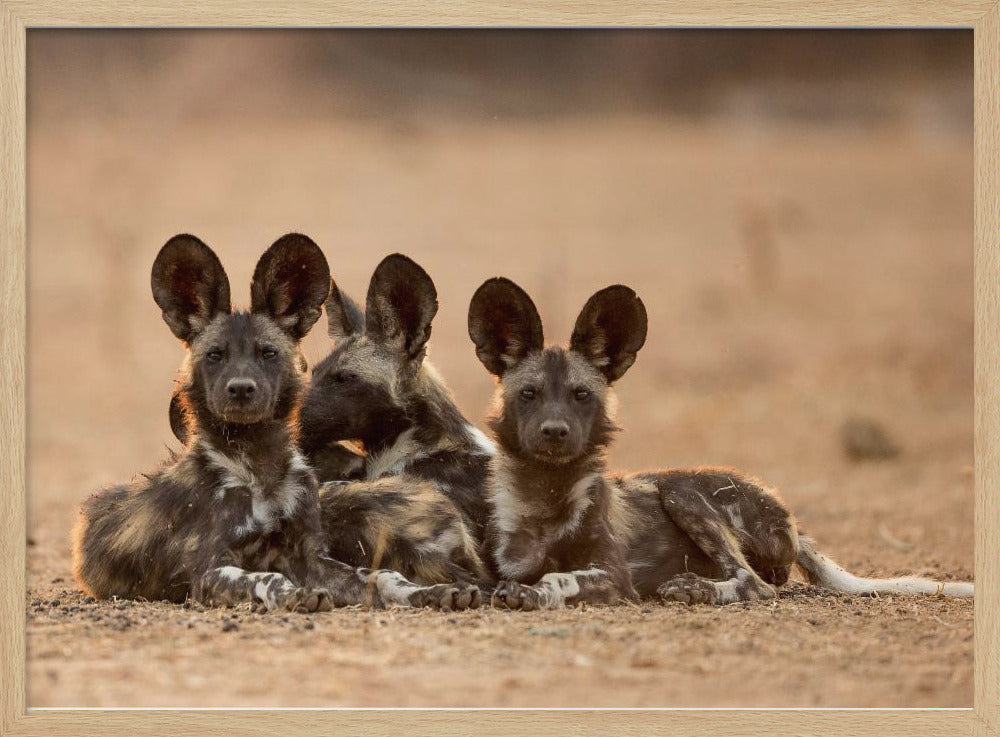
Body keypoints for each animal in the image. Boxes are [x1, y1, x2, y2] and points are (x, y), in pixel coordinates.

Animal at [72, 234, 478, 608]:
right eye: (215, 355)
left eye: (268, 353)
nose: (240, 389)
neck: (261, 463)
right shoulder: (209, 570)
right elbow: (267, 577)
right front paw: (297, 594)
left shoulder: (311, 556)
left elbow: (382, 576)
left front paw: (433, 592)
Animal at [468, 276, 976, 608]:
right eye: (529, 394)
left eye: (581, 395)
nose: (555, 432)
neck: (547, 497)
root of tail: (792, 521)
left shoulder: (614, 578)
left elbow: (559, 577)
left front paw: (532, 593)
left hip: (681, 490)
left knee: (755, 584)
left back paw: (694, 588)